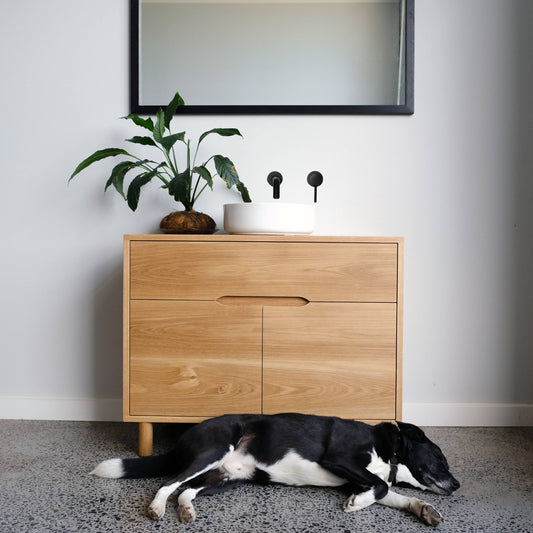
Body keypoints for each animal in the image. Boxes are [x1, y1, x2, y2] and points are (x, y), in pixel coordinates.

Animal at [90, 412, 458, 524]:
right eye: (441, 459)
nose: (456, 485)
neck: (389, 450)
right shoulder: (340, 459)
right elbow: (380, 486)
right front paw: (356, 505)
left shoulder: (357, 478)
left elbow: (390, 492)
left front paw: (424, 509)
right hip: (212, 450)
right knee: (168, 483)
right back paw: (156, 508)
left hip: (226, 477)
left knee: (186, 490)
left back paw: (186, 509)